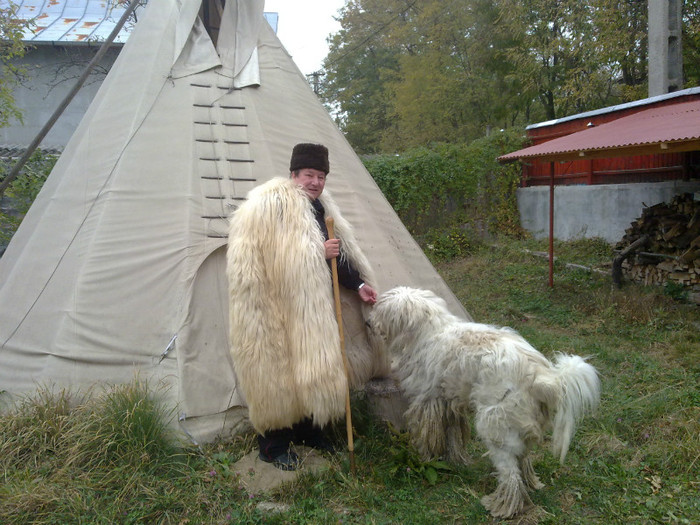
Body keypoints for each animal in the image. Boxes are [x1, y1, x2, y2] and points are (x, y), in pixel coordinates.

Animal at [366, 288, 600, 516]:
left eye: (381, 310)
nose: (367, 322)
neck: (427, 332)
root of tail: (541, 377)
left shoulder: (428, 401)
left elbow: (430, 436)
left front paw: (426, 458)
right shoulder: (449, 403)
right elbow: (452, 435)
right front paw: (455, 460)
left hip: (495, 425)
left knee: (510, 474)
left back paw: (503, 506)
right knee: (523, 460)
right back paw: (529, 484)